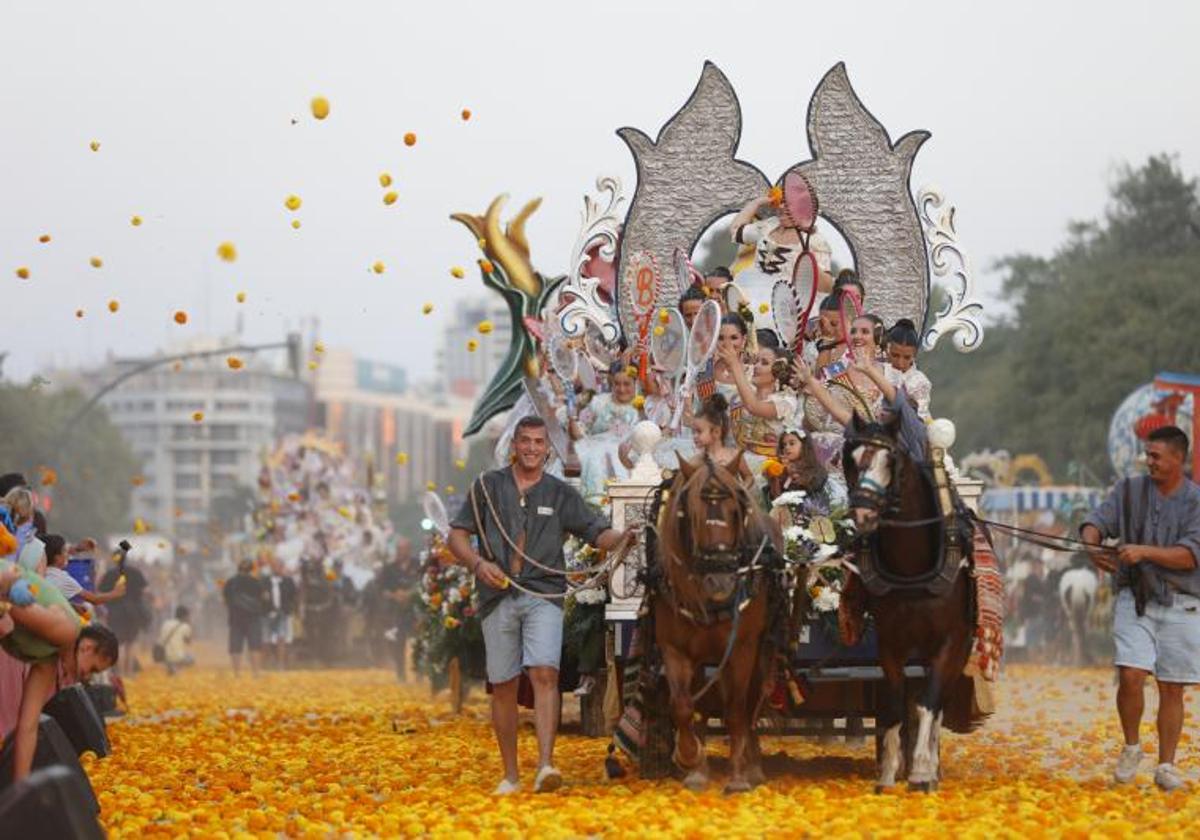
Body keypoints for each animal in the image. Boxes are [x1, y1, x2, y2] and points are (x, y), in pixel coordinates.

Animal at [657, 453, 777, 792]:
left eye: (737, 511)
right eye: (692, 515)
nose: (720, 581)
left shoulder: (742, 647)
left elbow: (736, 711)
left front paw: (738, 777)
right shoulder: (675, 649)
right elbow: (683, 706)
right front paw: (689, 758)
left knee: (747, 704)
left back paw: (753, 764)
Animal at [840, 415, 979, 792]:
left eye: (892, 461)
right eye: (851, 459)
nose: (863, 514)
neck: (912, 570)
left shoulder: (950, 642)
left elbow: (928, 703)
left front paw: (919, 771)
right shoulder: (890, 642)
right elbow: (893, 703)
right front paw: (888, 773)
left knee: (937, 700)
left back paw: (929, 766)